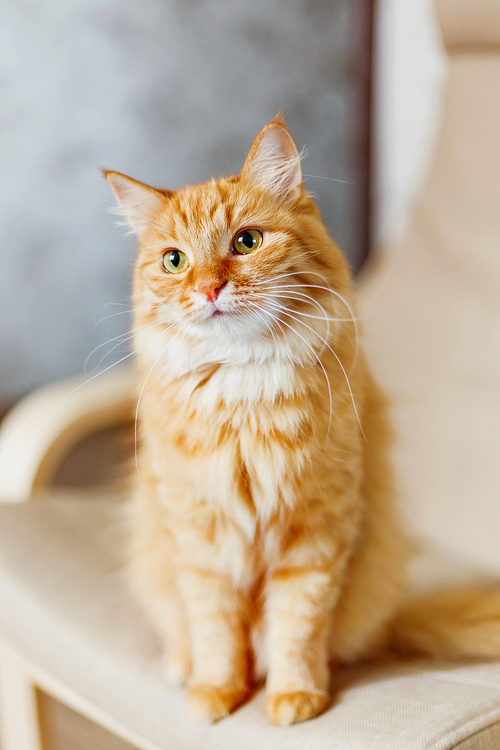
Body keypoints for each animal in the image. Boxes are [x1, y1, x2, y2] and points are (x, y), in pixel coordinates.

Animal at [103, 119, 500, 728]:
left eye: (246, 242)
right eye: (174, 261)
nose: (209, 288)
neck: (241, 389)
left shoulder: (315, 536)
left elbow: (295, 628)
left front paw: (295, 697)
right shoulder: (200, 541)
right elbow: (216, 631)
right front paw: (216, 691)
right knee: (184, 630)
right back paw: (182, 665)